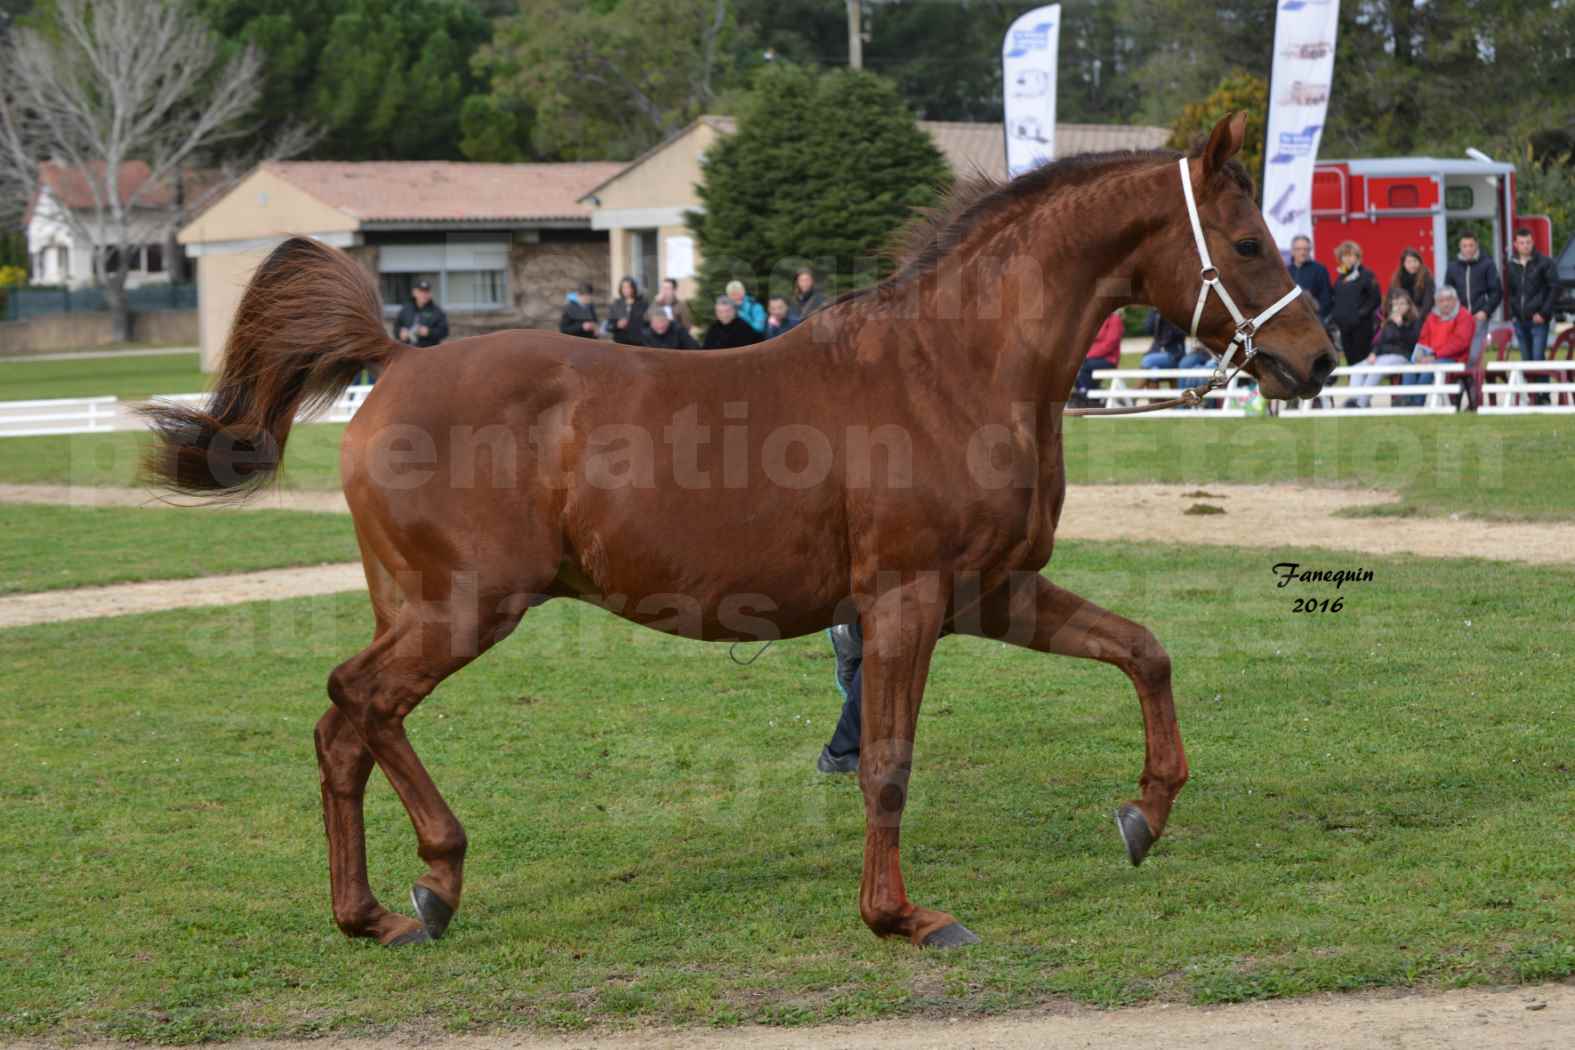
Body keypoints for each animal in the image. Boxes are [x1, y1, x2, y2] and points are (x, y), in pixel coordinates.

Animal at [144, 117, 1329, 950]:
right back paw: (437, 875)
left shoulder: (992, 594)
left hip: (420, 608)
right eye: (1245, 240)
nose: (1317, 359)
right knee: (360, 701)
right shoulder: (904, 603)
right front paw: (903, 918)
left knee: (344, 730)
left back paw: (375, 913)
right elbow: (886, 764)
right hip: (465, 608)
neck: (948, 367)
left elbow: (1144, 652)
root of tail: (394, 359)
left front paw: (1145, 815)